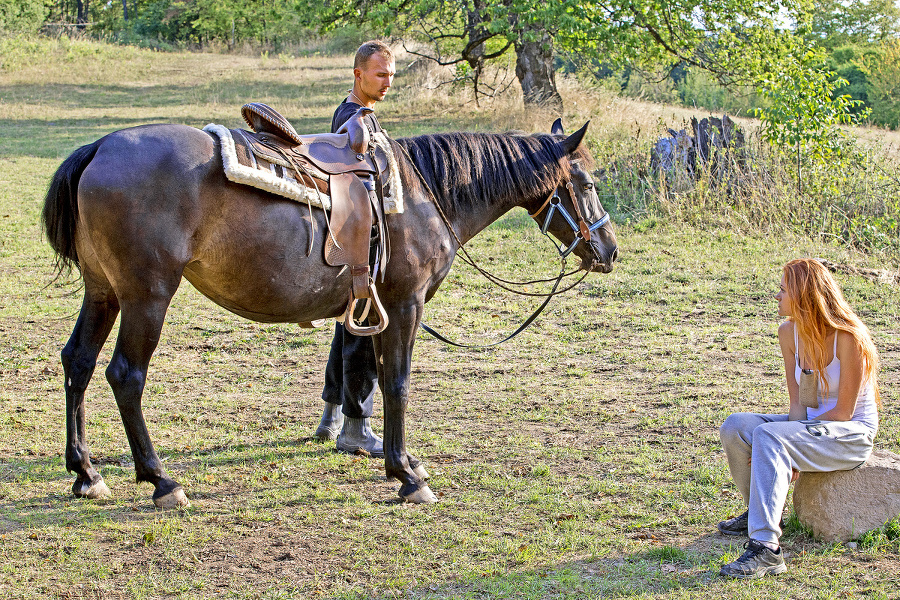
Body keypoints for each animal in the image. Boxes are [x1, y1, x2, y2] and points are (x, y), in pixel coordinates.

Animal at [42, 117, 620, 506]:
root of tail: (100, 147)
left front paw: (397, 459)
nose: (610, 250)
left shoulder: (372, 308)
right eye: (588, 183)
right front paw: (406, 475)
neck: (423, 194)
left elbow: (369, 376)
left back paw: (86, 473)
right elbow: (397, 383)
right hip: (147, 296)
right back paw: (161, 480)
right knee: (125, 375)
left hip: (103, 291)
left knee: (78, 363)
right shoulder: (404, 303)